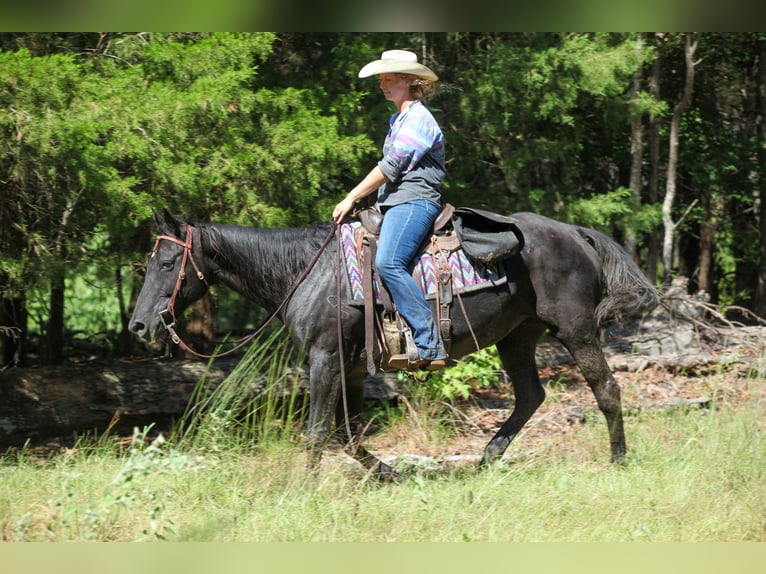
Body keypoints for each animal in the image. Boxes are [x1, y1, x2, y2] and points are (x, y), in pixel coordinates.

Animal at [129, 209, 659, 478]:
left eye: (166, 263)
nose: (137, 325)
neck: (308, 271)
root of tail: (575, 232)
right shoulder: (351, 365)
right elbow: (346, 432)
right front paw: (389, 473)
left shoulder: (324, 358)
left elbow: (319, 431)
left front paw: (301, 487)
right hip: (517, 336)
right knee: (531, 395)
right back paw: (486, 459)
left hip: (575, 329)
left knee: (606, 389)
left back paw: (618, 461)